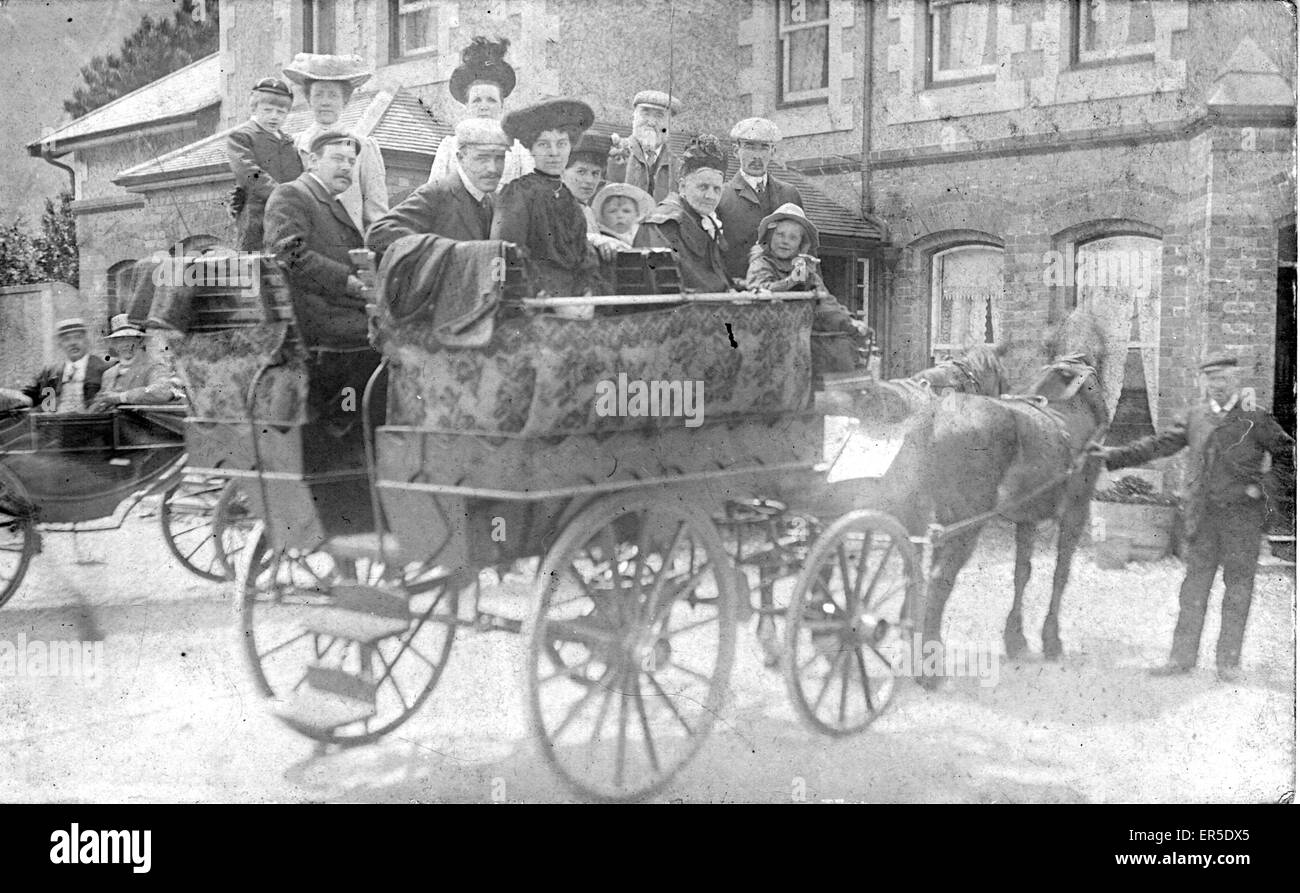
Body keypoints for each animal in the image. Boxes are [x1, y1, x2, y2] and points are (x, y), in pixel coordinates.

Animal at [915, 306, 1107, 686]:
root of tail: (941, 418)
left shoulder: (1027, 517)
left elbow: (1023, 572)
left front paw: (1015, 638)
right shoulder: (1076, 512)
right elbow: (1060, 573)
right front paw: (1051, 640)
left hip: (947, 518)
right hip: (966, 523)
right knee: (940, 577)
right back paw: (930, 669)